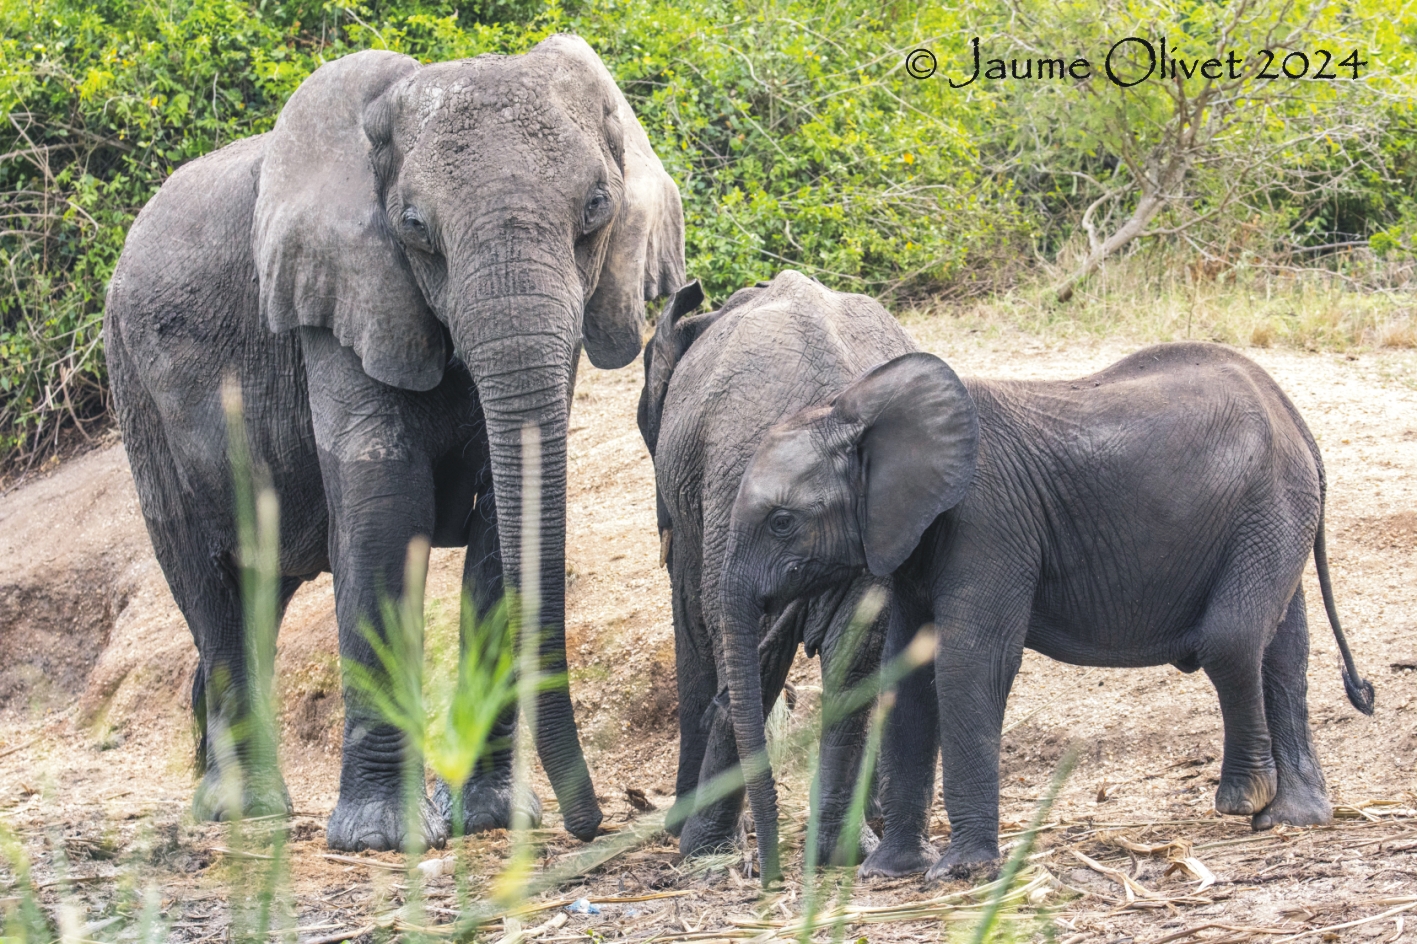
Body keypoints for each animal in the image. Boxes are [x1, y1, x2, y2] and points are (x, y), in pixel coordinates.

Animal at [103, 36, 685, 850]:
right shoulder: (336, 295)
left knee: (260, 593)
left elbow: (501, 529)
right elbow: (384, 504)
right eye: (414, 228)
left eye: (596, 210)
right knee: (211, 585)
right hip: (135, 387)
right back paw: (245, 811)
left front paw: (489, 821)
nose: (595, 824)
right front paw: (379, 839)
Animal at [719, 341, 1371, 878]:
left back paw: (1246, 800)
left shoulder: (988, 519)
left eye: (783, 523)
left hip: (1268, 506)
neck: (858, 414)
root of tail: (1295, 417)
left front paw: (960, 872)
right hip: (1273, 511)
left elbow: (968, 664)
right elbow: (908, 675)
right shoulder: (912, 540)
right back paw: (1293, 818)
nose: (766, 877)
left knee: (1232, 639)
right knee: (1282, 652)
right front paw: (889, 874)